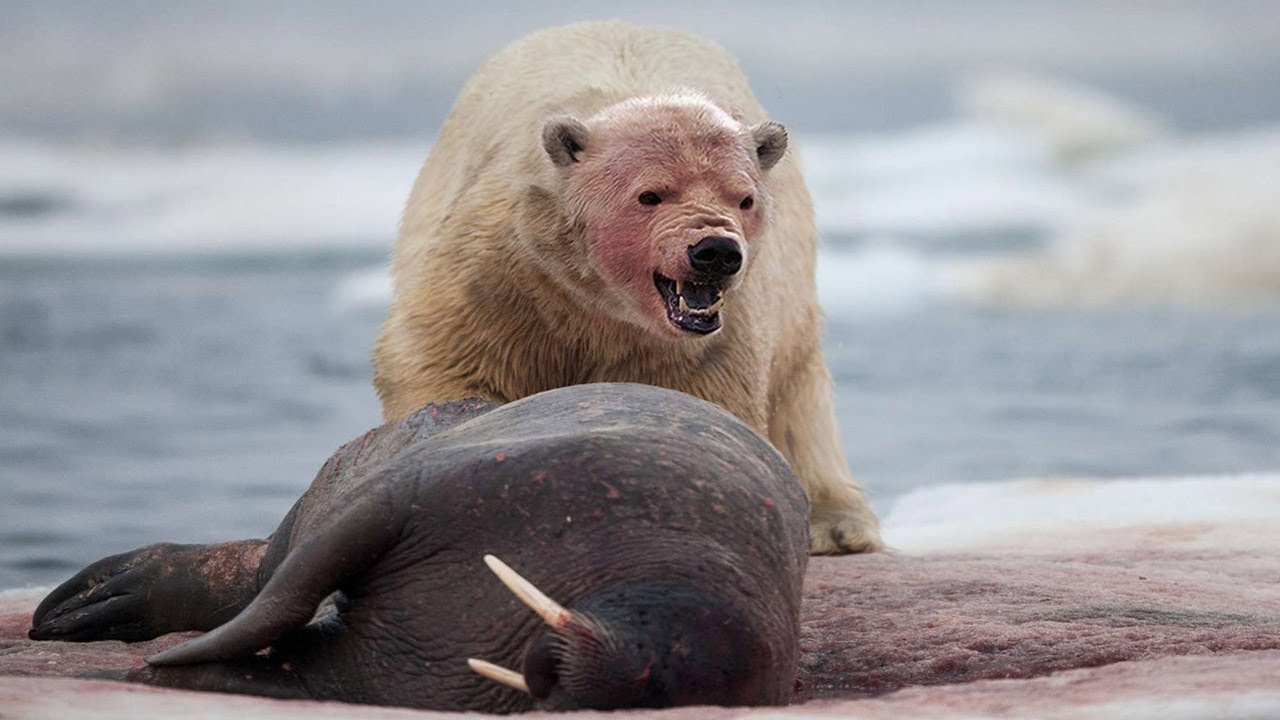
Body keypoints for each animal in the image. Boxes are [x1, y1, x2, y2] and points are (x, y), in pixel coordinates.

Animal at [373, 21, 881, 554]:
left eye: (744, 199)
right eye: (650, 194)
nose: (716, 251)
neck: (602, 304)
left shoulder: (710, 338)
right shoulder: (497, 270)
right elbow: (442, 357)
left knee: (799, 402)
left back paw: (837, 525)